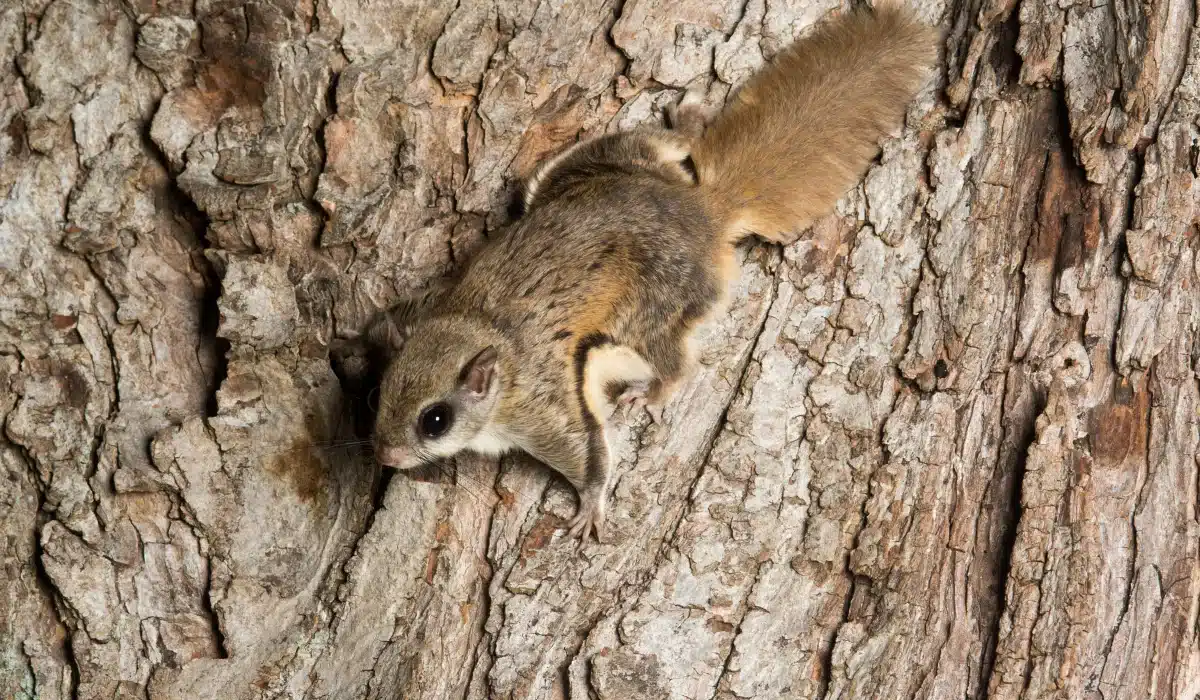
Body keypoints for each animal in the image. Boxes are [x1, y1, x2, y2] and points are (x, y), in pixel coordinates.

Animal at [369, 5, 938, 540]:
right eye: (380, 393)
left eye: (435, 420)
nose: (386, 457)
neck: (478, 331)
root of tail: (704, 213)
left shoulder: (541, 404)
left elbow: (585, 451)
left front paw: (589, 507)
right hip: (591, 164)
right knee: (660, 144)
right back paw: (686, 121)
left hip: (652, 307)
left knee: (676, 360)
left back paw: (655, 391)